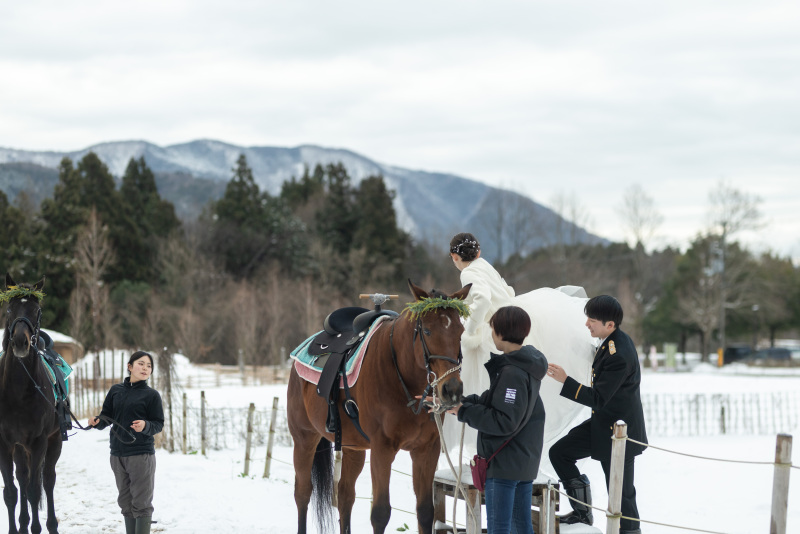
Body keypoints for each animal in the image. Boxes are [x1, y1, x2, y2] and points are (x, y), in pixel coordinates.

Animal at [287, 281, 470, 534]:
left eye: (460, 333)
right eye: (427, 331)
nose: (452, 390)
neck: (401, 375)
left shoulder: (426, 449)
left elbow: (425, 511)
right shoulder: (382, 450)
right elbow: (381, 513)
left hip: (353, 448)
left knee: (345, 497)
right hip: (305, 438)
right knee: (303, 493)